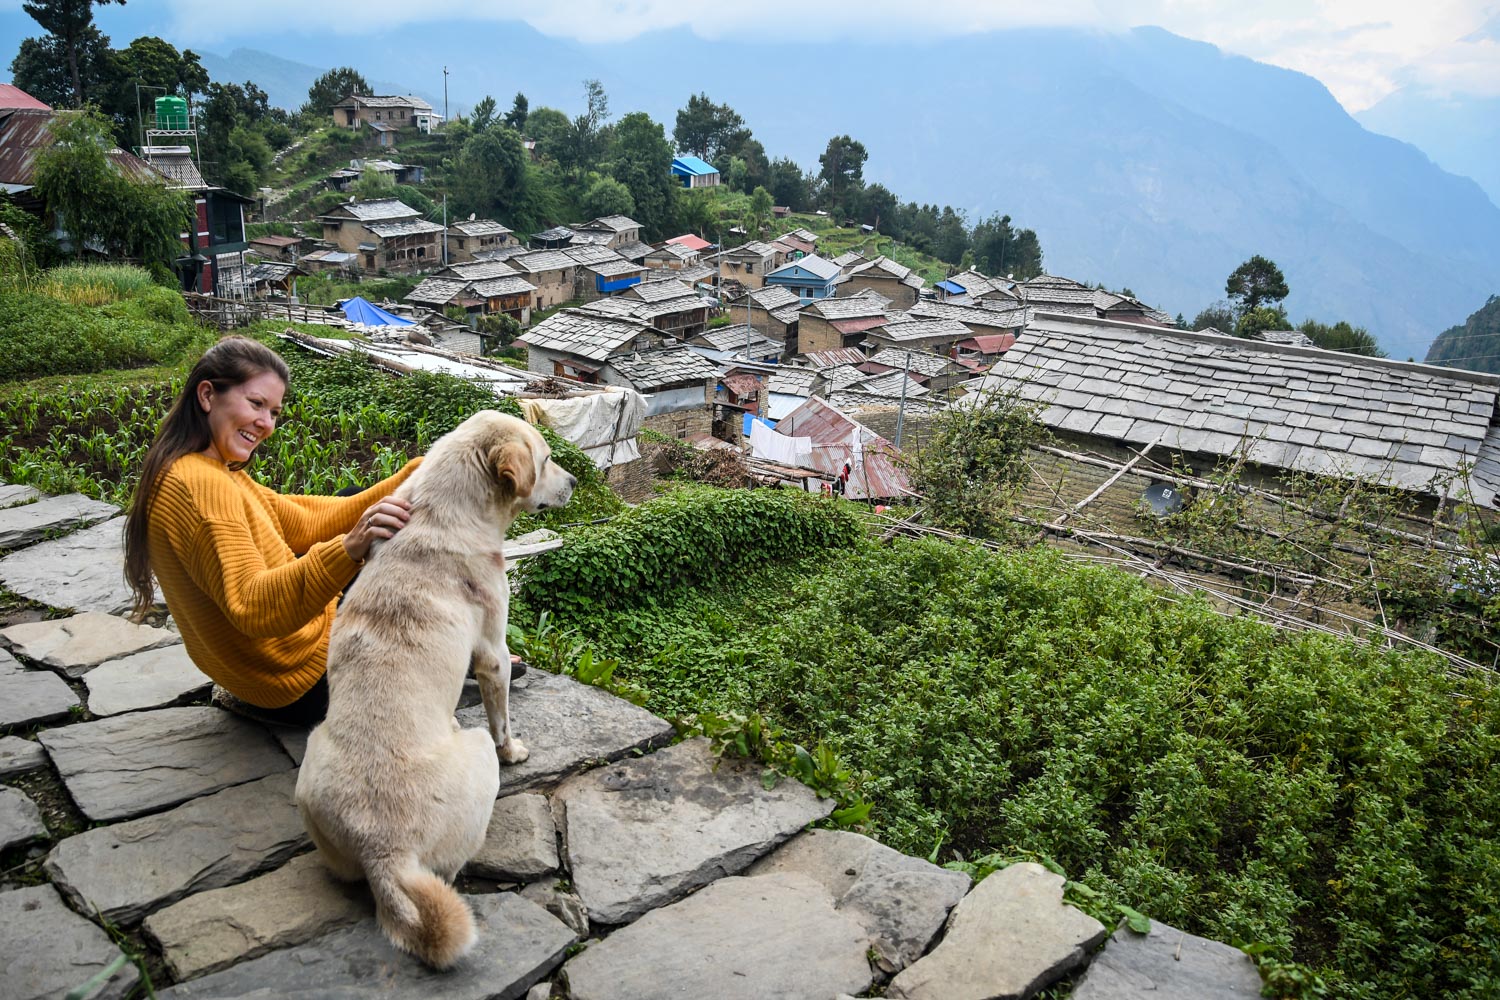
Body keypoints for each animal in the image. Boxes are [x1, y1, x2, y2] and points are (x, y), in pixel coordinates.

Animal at [295, 407, 576, 971]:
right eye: (547, 460)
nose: (577, 482)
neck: (445, 513)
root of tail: (385, 852)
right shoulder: (493, 654)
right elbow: (501, 714)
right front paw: (516, 749)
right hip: (475, 755)